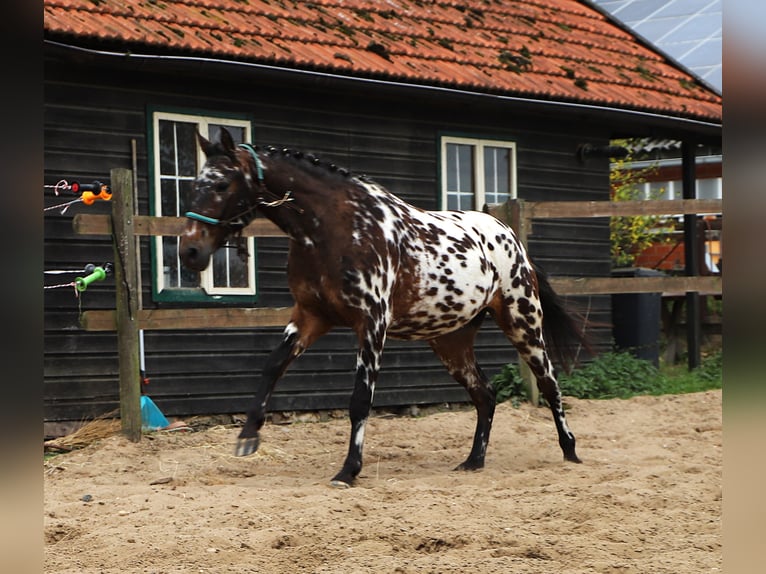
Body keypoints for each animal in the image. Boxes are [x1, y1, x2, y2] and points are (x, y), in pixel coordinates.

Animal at [180, 128, 589, 487]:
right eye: (193, 185)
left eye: (221, 185)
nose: (190, 251)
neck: (335, 228)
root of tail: (510, 236)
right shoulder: (310, 318)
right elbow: (271, 368)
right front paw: (248, 437)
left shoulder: (371, 323)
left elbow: (360, 400)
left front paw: (348, 471)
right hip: (450, 341)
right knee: (485, 395)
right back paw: (473, 461)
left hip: (523, 322)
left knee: (550, 385)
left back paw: (570, 453)